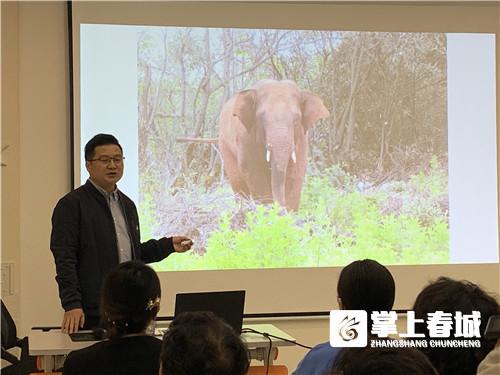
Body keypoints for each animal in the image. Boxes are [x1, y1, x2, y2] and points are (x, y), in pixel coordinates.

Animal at [218, 80, 328, 212]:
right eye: (261, 117)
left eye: (297, 118)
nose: (280, 210)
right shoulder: (245, 136)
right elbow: (253, 171)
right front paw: (268, 211)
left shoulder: (302, 137)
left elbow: (296, 170)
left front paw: (289, 214)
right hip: (224, 144)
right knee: (238, 182)